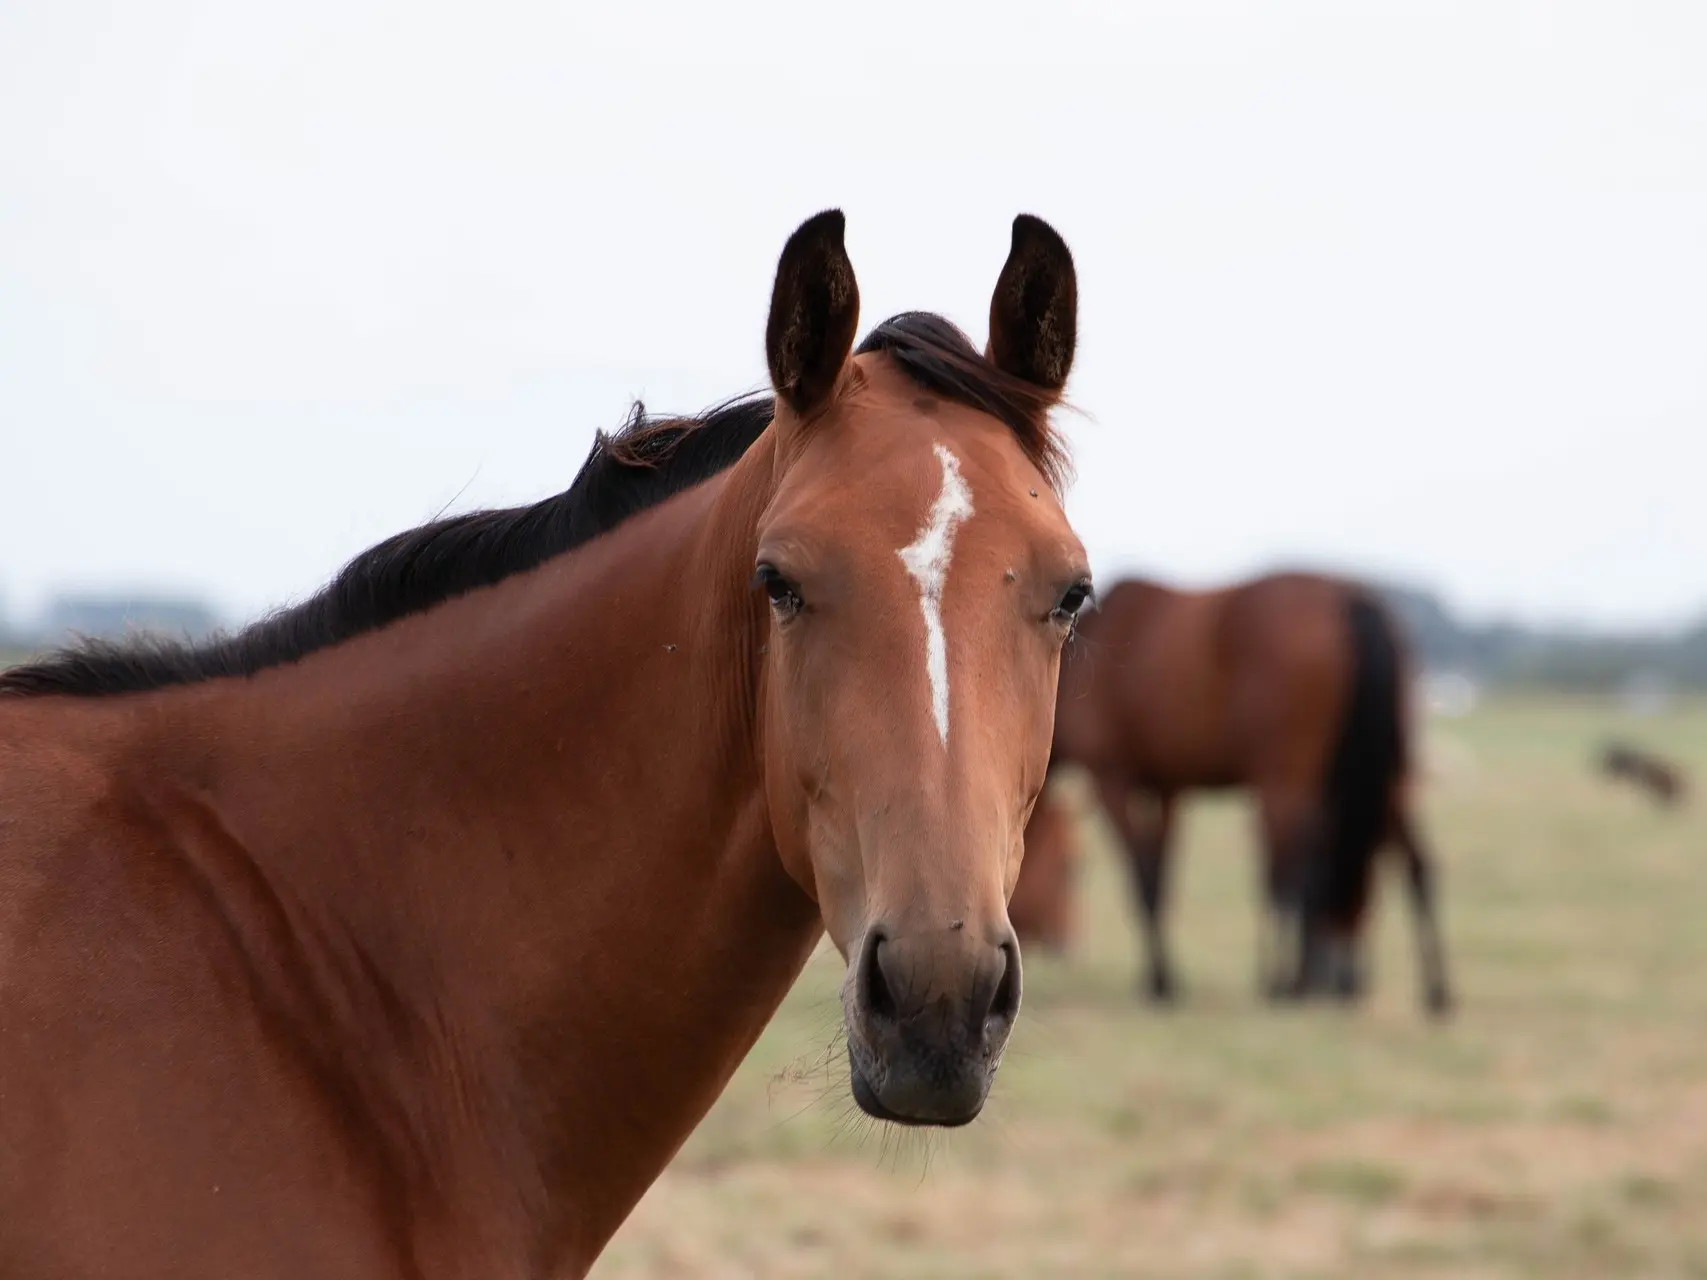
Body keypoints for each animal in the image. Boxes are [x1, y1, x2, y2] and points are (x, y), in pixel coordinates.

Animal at [1017, 576, 1447, 1017]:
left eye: (1074, 867)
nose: (1067, 946)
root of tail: (1354, 603)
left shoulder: (1112, 778)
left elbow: (1144, 878)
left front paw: (1161, 982)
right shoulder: (1167, 788)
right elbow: (1161, 875)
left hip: (1290, 783)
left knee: (1298, 875)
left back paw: (1291, 983)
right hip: (1388, 778)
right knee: (1414, 864)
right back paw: (1429, 991)